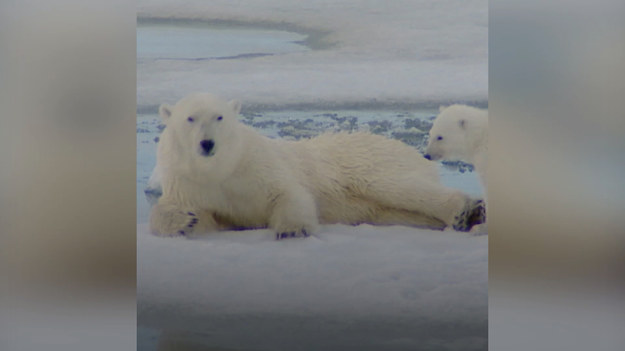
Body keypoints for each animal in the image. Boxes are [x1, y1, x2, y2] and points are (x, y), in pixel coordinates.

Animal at [149, 93, 486, 239]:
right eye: (190, 118)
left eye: (219, 116)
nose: (207, 143)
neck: (220, 169)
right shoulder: (189, 182)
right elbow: (197, 214)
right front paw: (185, 220)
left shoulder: (256, 166)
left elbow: (287, 192)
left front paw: (292, 229)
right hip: (377, 207)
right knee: (397, 211)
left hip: (372, 163)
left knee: (399, 188)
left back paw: (465, 211)